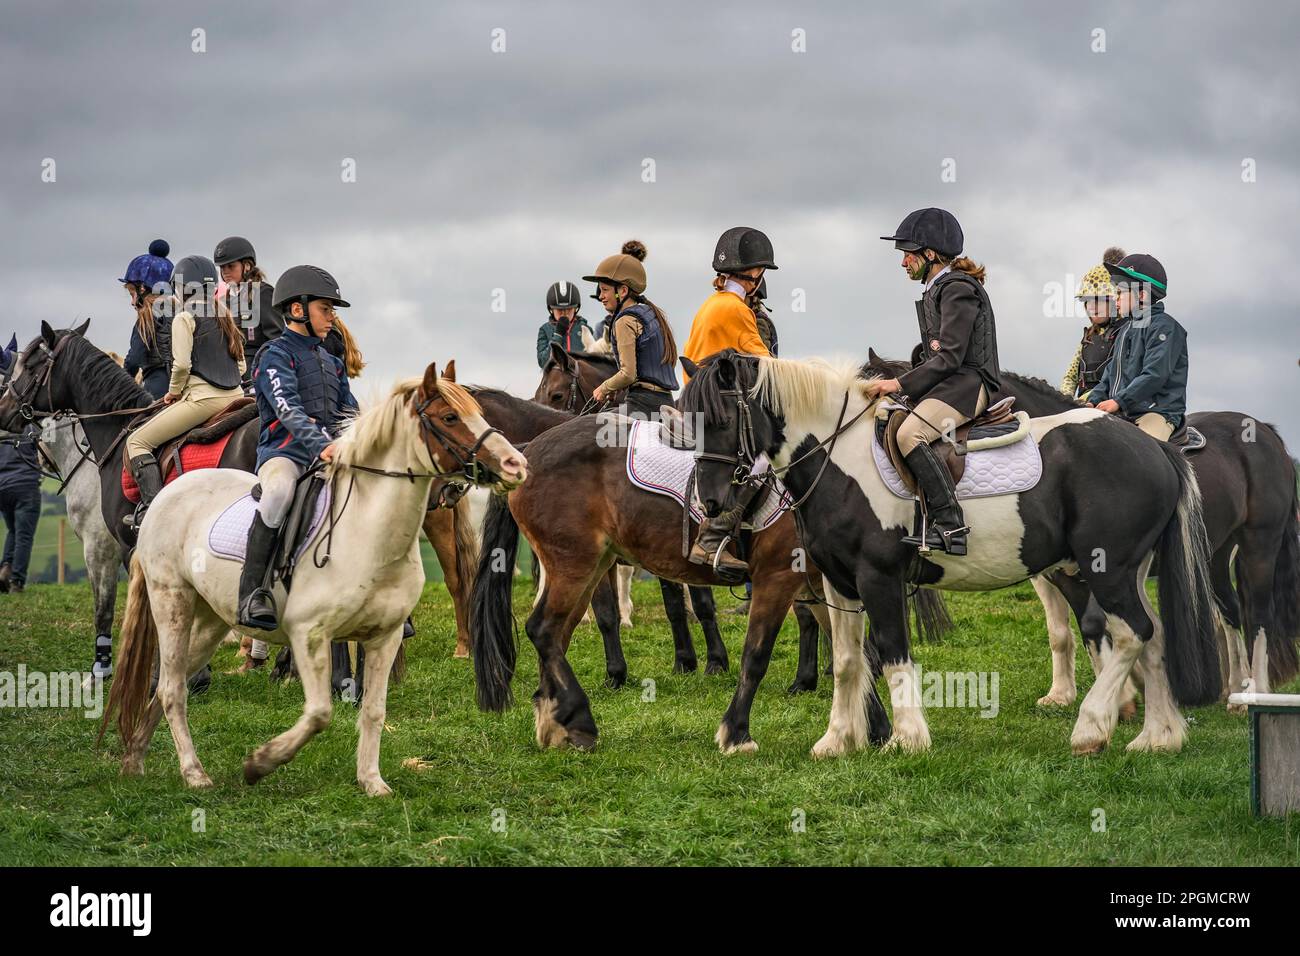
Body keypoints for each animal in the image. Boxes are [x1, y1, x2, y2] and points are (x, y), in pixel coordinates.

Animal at [686, 348, 1222, 759]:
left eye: (721, 419)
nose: (710, 503)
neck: (840, 458)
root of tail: (1153, 447)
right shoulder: (839, 585)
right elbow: (846, 661)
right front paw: (837, 742)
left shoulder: (879, 577)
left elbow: (893, 653)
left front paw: (906, 740)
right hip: (1128, 571)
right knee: (1154, 638)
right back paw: (1158, 738)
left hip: (1106, 568)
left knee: (1134, 634)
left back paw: (1091, 729)